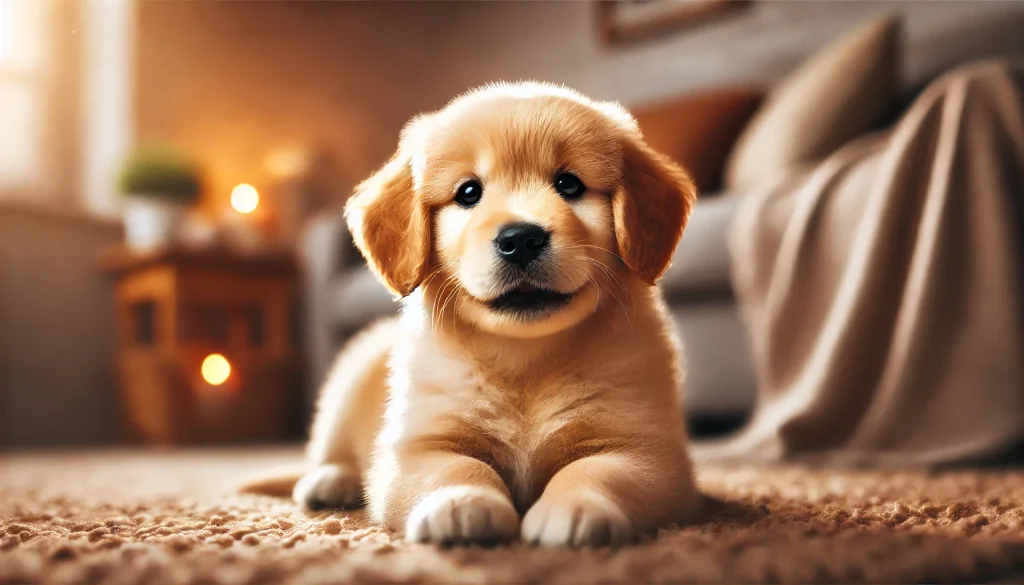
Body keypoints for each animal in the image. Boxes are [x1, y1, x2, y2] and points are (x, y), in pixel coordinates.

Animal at [292, 79, 700, 549]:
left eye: (569, 184)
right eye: (468, 193)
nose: (521, 238)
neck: (525, 361)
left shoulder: (646, 449)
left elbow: (598, 470)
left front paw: (575, 507)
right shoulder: (417, 445)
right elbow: (457, 466)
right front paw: (461, 504)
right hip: (347, 382)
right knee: (330, 449)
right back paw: (328, 482)